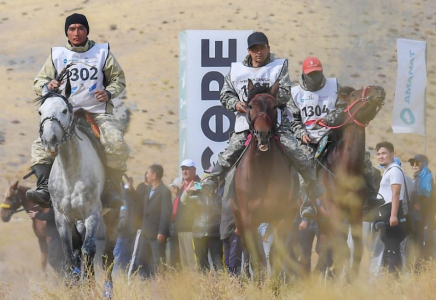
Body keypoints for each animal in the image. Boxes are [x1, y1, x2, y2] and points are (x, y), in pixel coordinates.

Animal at [37, 85, 118, 296]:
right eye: (40, 112)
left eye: (64, 110)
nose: (49, 140)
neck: (70, 172)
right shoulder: (62, 217)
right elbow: (69, 254)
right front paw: (72, 286)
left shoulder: (92, 213)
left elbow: (89, 250)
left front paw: (89, 287)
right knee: (77, 251)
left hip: (111, 217)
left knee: (107, 256)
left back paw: (107, 290)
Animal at [232, 80, 300, 282]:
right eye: (250, 106)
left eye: (274, 106)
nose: (262, 134)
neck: (261, 173)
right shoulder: (248, 219)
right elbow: (257, 256)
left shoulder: (281, 218)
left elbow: (276, 253)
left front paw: (274, 285)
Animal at [316, 85, 384, 280]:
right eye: (354, 94)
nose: (379, 89)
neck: (344, 169)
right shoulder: (334, 211)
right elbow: (344, 250)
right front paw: (345, 279)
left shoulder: (355, 212)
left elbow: (358, 249)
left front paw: (350, 279)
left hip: (323, 222)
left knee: (323, 248)